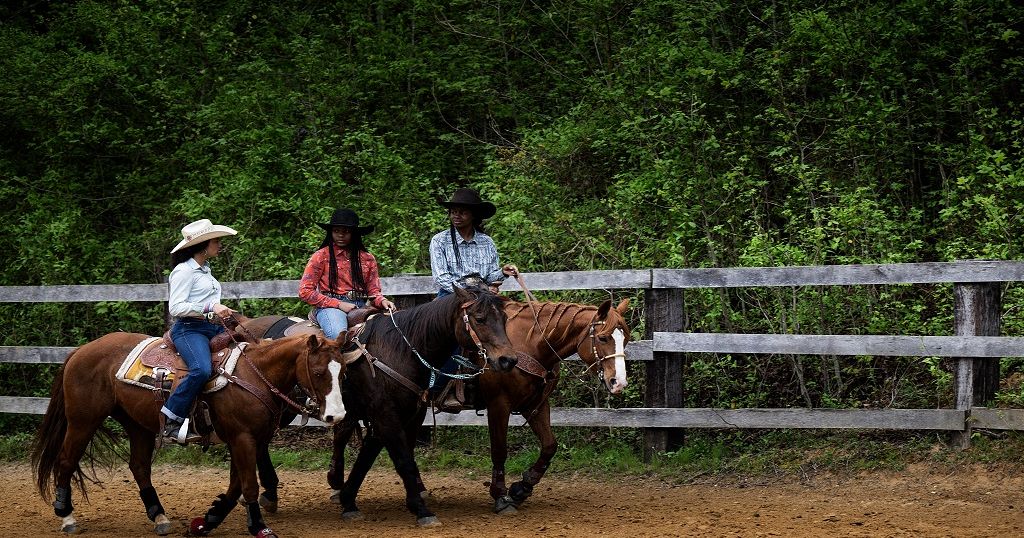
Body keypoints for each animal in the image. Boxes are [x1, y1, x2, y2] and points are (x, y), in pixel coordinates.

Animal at [29, 329, 350, 532]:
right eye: (318, 372)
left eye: (344, 372)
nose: (337, 415)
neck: (254, 374)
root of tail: (80, 351)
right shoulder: (243, 439)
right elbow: (248, 485)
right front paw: (259, 527)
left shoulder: (253, 440)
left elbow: (236, 486)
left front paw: (209, 519)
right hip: (83, 420)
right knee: (66, 461)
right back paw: (66, 516)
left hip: (137, 424)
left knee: (139, 466)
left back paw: (159, 517)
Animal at [481, 297, 630, 512]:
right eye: (602, 338)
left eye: (625, 340)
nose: (619, 382)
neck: (525, 343)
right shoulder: (498, 404)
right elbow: (499, 450)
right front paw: (501, 496)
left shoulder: (535, 404)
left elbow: (550, 445)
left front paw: (521, 489)